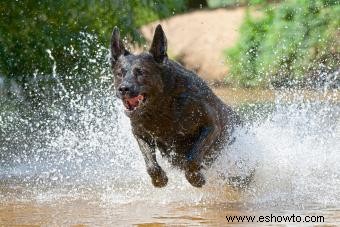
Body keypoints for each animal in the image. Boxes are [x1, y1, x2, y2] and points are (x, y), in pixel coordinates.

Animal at [110, 24, 240, 188]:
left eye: (141, 72)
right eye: (119, 73)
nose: (123, 88)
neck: (160, 106)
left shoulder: (211, 126)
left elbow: (192, 158)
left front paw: (195, 178)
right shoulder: (140, 133)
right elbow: (150, 164)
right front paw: (159, 179)